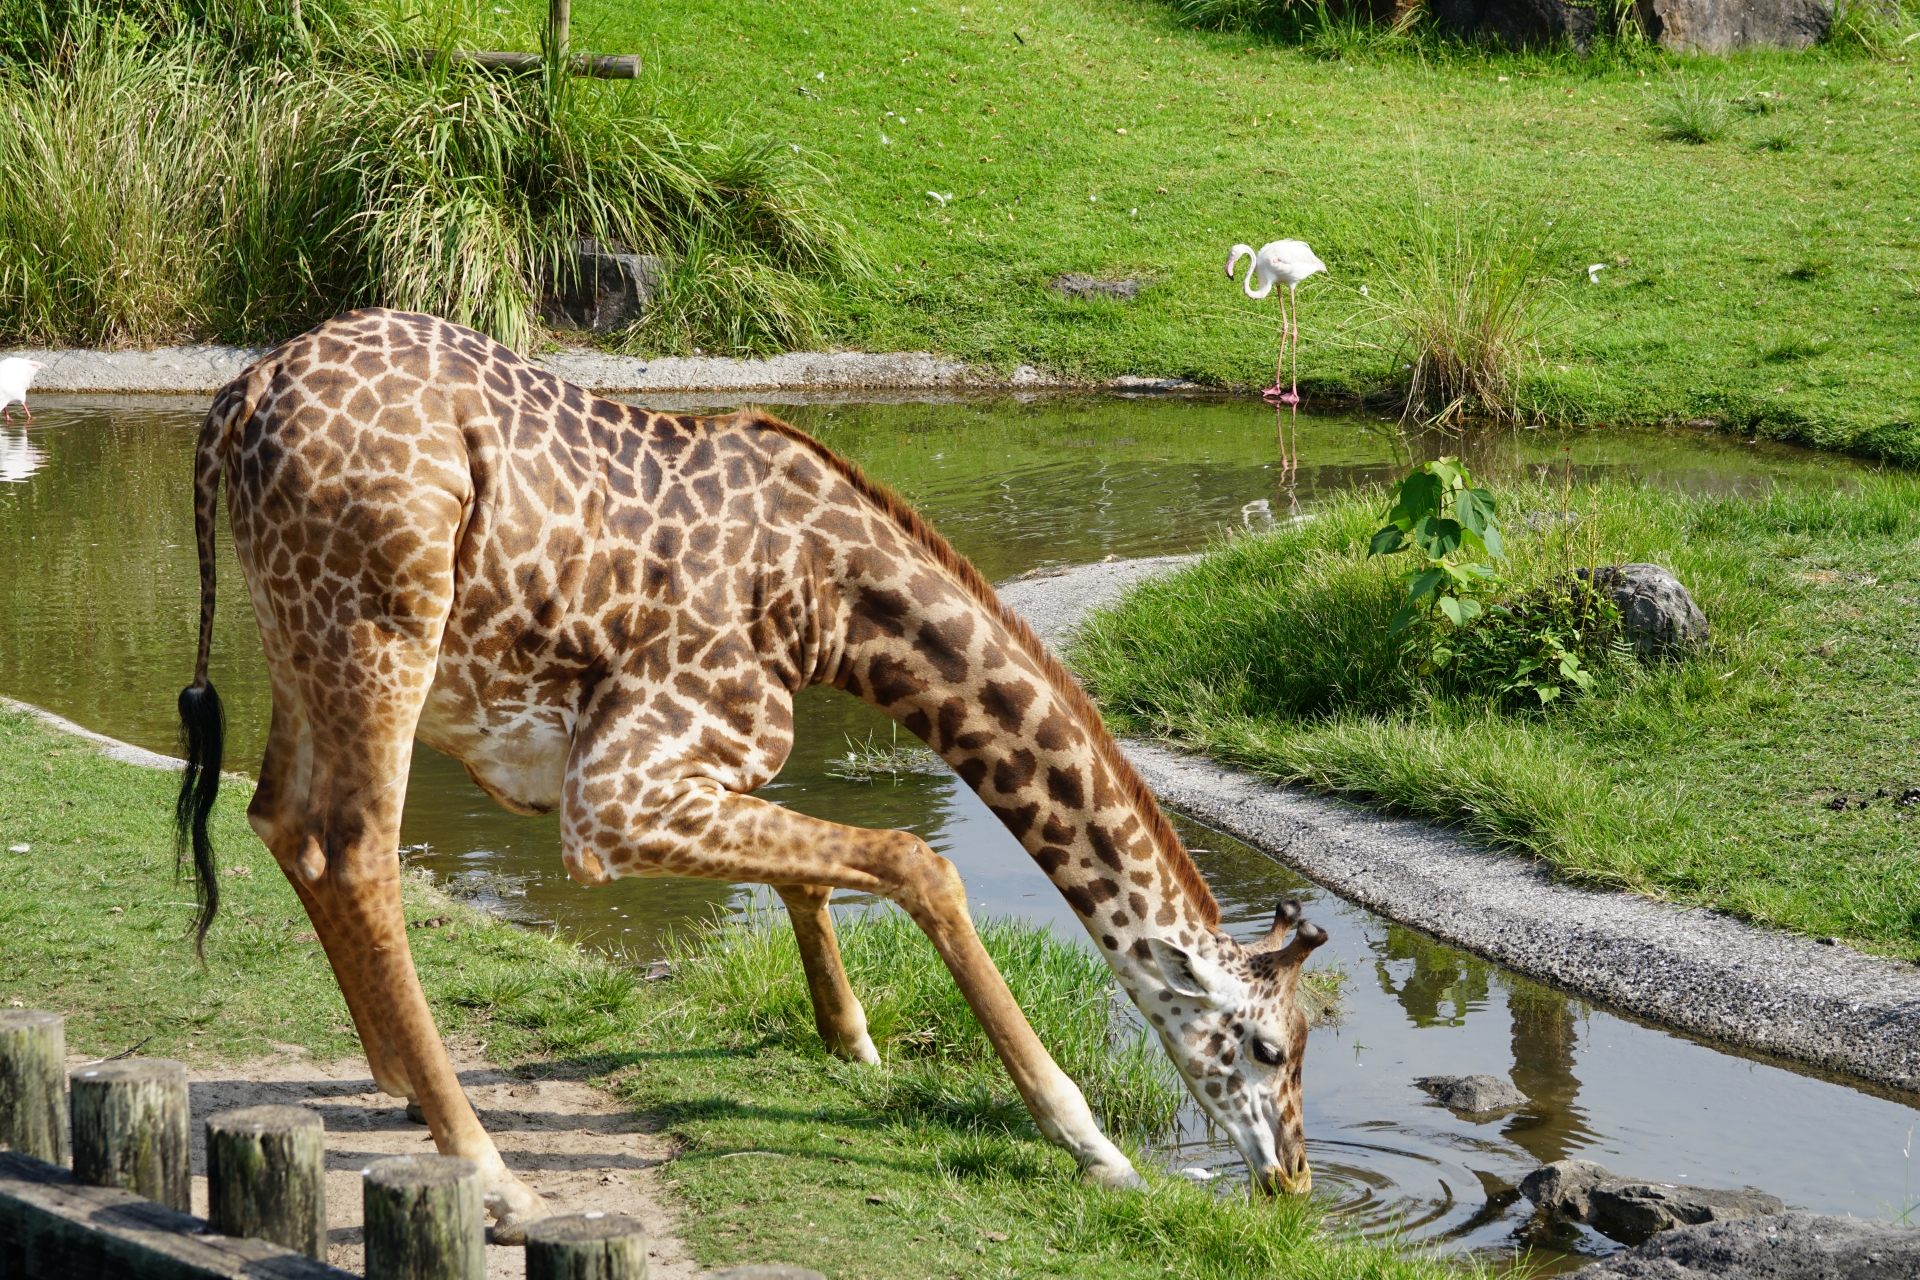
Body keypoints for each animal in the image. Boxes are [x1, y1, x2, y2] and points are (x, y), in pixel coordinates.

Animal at [172, 305, 1328, 1235]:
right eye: (1271, 1047)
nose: (1295, 1182)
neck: (833, 605)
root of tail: (237, 399)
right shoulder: (610, 797)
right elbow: (914, 860)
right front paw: (1087, 1140)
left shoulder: (684, 769)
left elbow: (816, 868)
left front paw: (851, 1039)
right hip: (384, 632)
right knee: (359, 850)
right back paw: (493, 1174)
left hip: (300, 639)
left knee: (283, 821)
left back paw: (401, 1080)